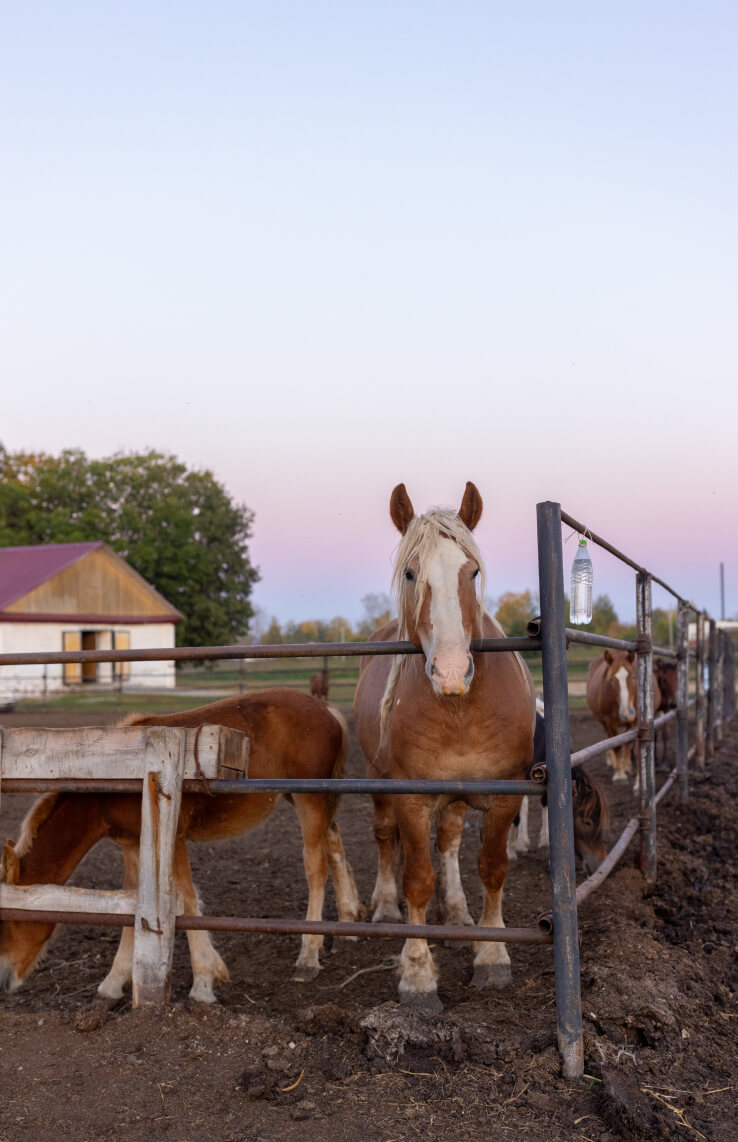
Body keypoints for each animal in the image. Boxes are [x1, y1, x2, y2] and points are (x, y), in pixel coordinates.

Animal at [0, 685, 363, 1000]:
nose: (3, 982)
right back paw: (348, 923)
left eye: (7, 921)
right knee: (334, 842)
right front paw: (112, 985)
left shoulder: (173, 838)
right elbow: (131, 905)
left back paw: (308, 957)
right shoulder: (133, 844)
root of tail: (326, 709)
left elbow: (187, 900)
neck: (118, 774)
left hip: (308, 798)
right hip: (309, 798)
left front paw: (204, 982)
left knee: (316, 866)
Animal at [354, 479, 536, 1009]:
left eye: (471, 571)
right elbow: (417, 878)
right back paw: (386, 908)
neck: (460, 710)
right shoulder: (410, 799)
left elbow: (492, 867)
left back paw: (456, 915)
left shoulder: (505, 794)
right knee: (385, 839)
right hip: (376, 781)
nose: (452, 672)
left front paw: (491, 956)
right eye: (411, 572)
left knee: (451, 841)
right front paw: (417, 974)